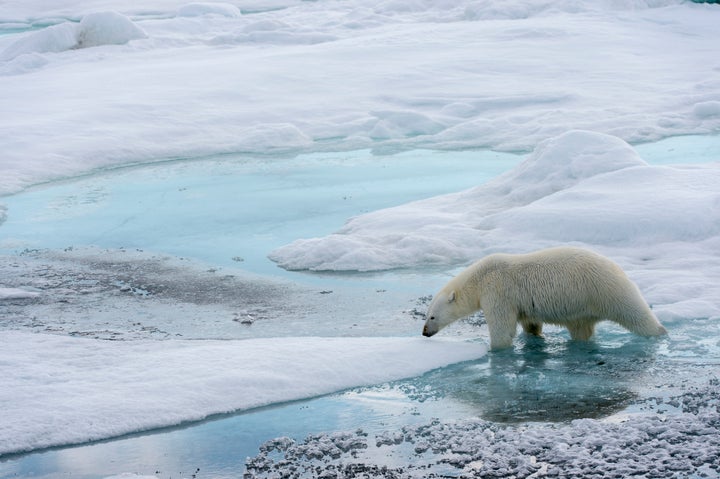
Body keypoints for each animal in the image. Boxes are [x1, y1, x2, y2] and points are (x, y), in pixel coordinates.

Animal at [422, 246, 668, 350]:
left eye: (432, 317)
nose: (424, 332)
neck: (480, 277)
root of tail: (617, 268)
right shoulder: (522, 303)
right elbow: (530, 323)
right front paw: (534, 338)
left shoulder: (498, 292)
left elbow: (502, 327)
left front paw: (496, 349)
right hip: (584, 307)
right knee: (581, 328)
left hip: (605, 289)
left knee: (636, 314)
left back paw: (659, 332)